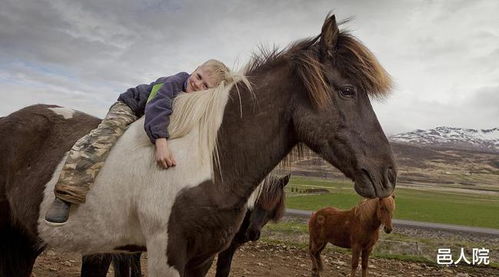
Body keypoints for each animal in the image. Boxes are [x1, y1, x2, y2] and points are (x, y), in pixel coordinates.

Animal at [0, 14, 398, 274]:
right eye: (347, 91)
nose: (388, 175)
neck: (211, 160)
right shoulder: (167, 255)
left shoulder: (203, 258)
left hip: (23, 241)